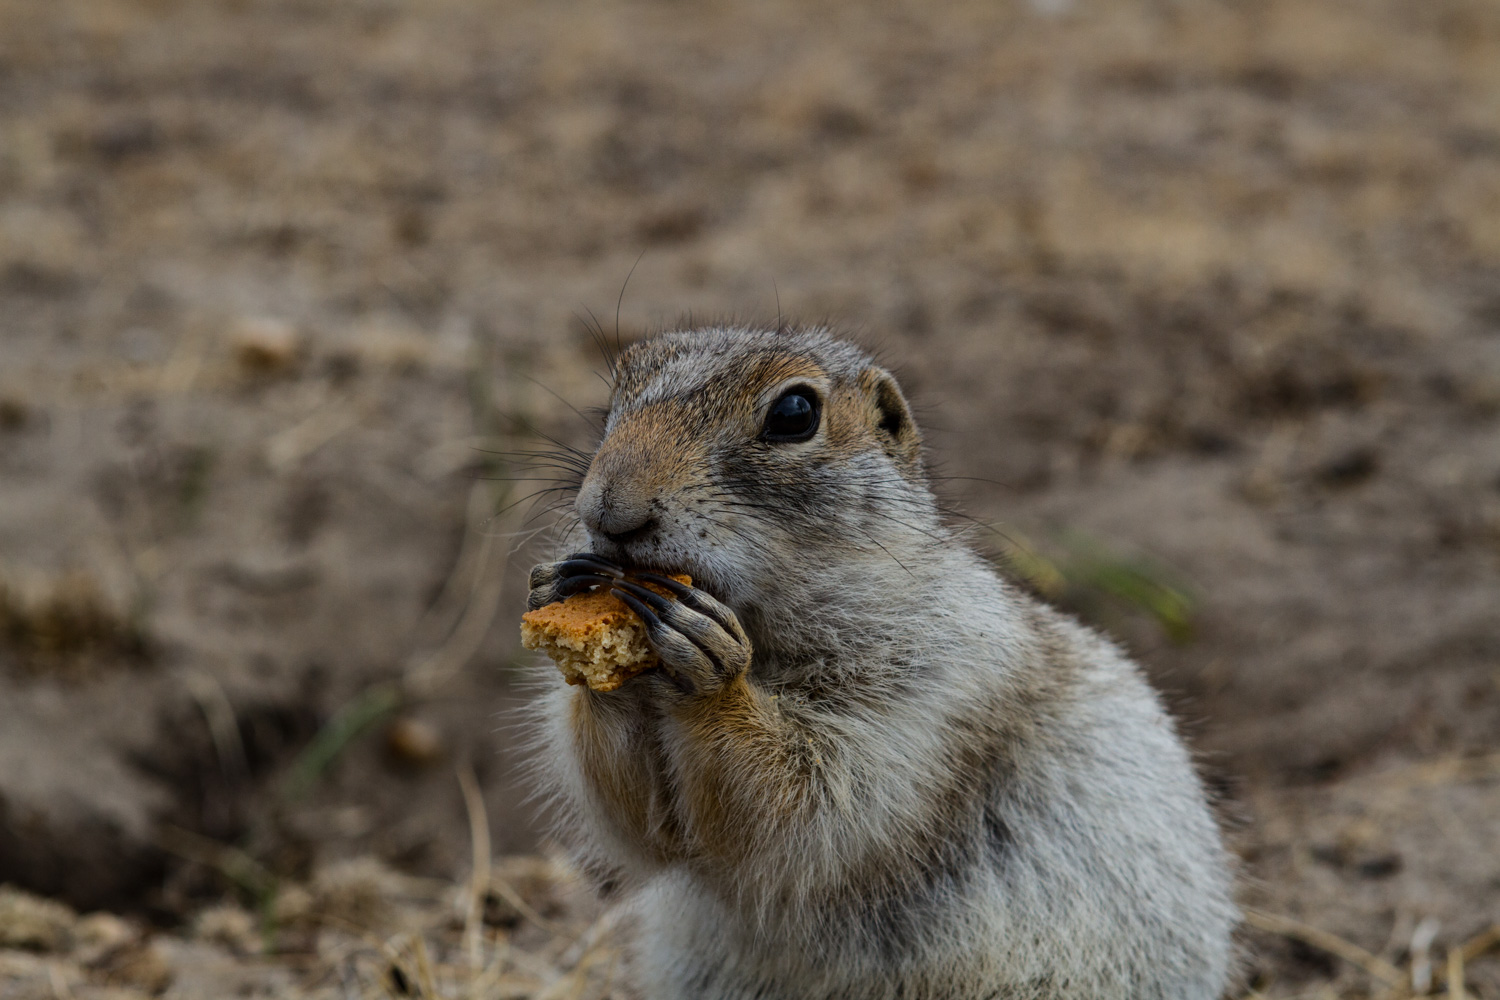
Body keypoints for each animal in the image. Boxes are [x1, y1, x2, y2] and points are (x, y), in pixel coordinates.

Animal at [525, 328, 1230, 1000]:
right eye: (618, 390)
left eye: (795, 413)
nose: (607, 510)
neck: (767, 634)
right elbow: (638, 818)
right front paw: (573, 611)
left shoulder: (935, 689)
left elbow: (813, 799)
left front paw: (710, 665)